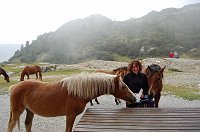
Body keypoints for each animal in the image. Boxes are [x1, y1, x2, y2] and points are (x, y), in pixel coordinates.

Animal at [7, 72, 136, 132]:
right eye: (123, 87)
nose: (134, 98)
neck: (77, 92)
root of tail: (14, 87)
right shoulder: (70, 115)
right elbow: (68, 130)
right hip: (17, 111)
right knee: (11, 125)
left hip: (30, 111)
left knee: (28, 124)